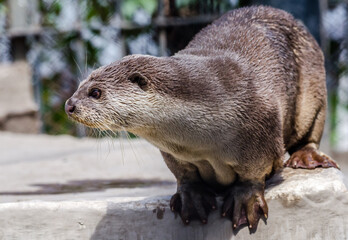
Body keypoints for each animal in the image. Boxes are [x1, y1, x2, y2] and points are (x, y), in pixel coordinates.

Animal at [66, 6, 340, 230]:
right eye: (79, 86)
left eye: (95, 92)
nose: (69, 105)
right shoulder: (173, 153)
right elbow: (184, 175)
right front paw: (193, 198)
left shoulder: (262, 131)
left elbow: (254, 174)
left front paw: (245, 200)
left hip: (312, 88)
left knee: (310, 130)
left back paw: (307, 157)